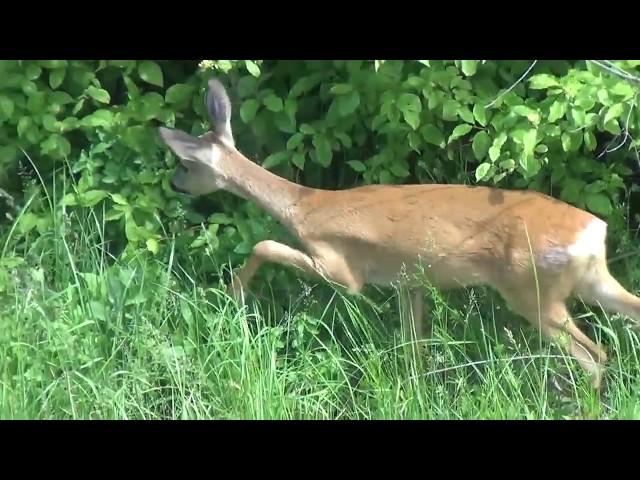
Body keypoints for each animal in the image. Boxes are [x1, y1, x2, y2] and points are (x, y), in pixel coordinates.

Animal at [158, 76, 640, 390]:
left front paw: (233, 293)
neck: (305, 206)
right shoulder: (410, 282)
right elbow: (414, 345)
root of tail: (592, 231)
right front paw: (417, 390)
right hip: (589, 280)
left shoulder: (340, 269)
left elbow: (265, 244)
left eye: (185, 164)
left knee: (594, 356)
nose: (174, 185)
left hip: (531, 290)